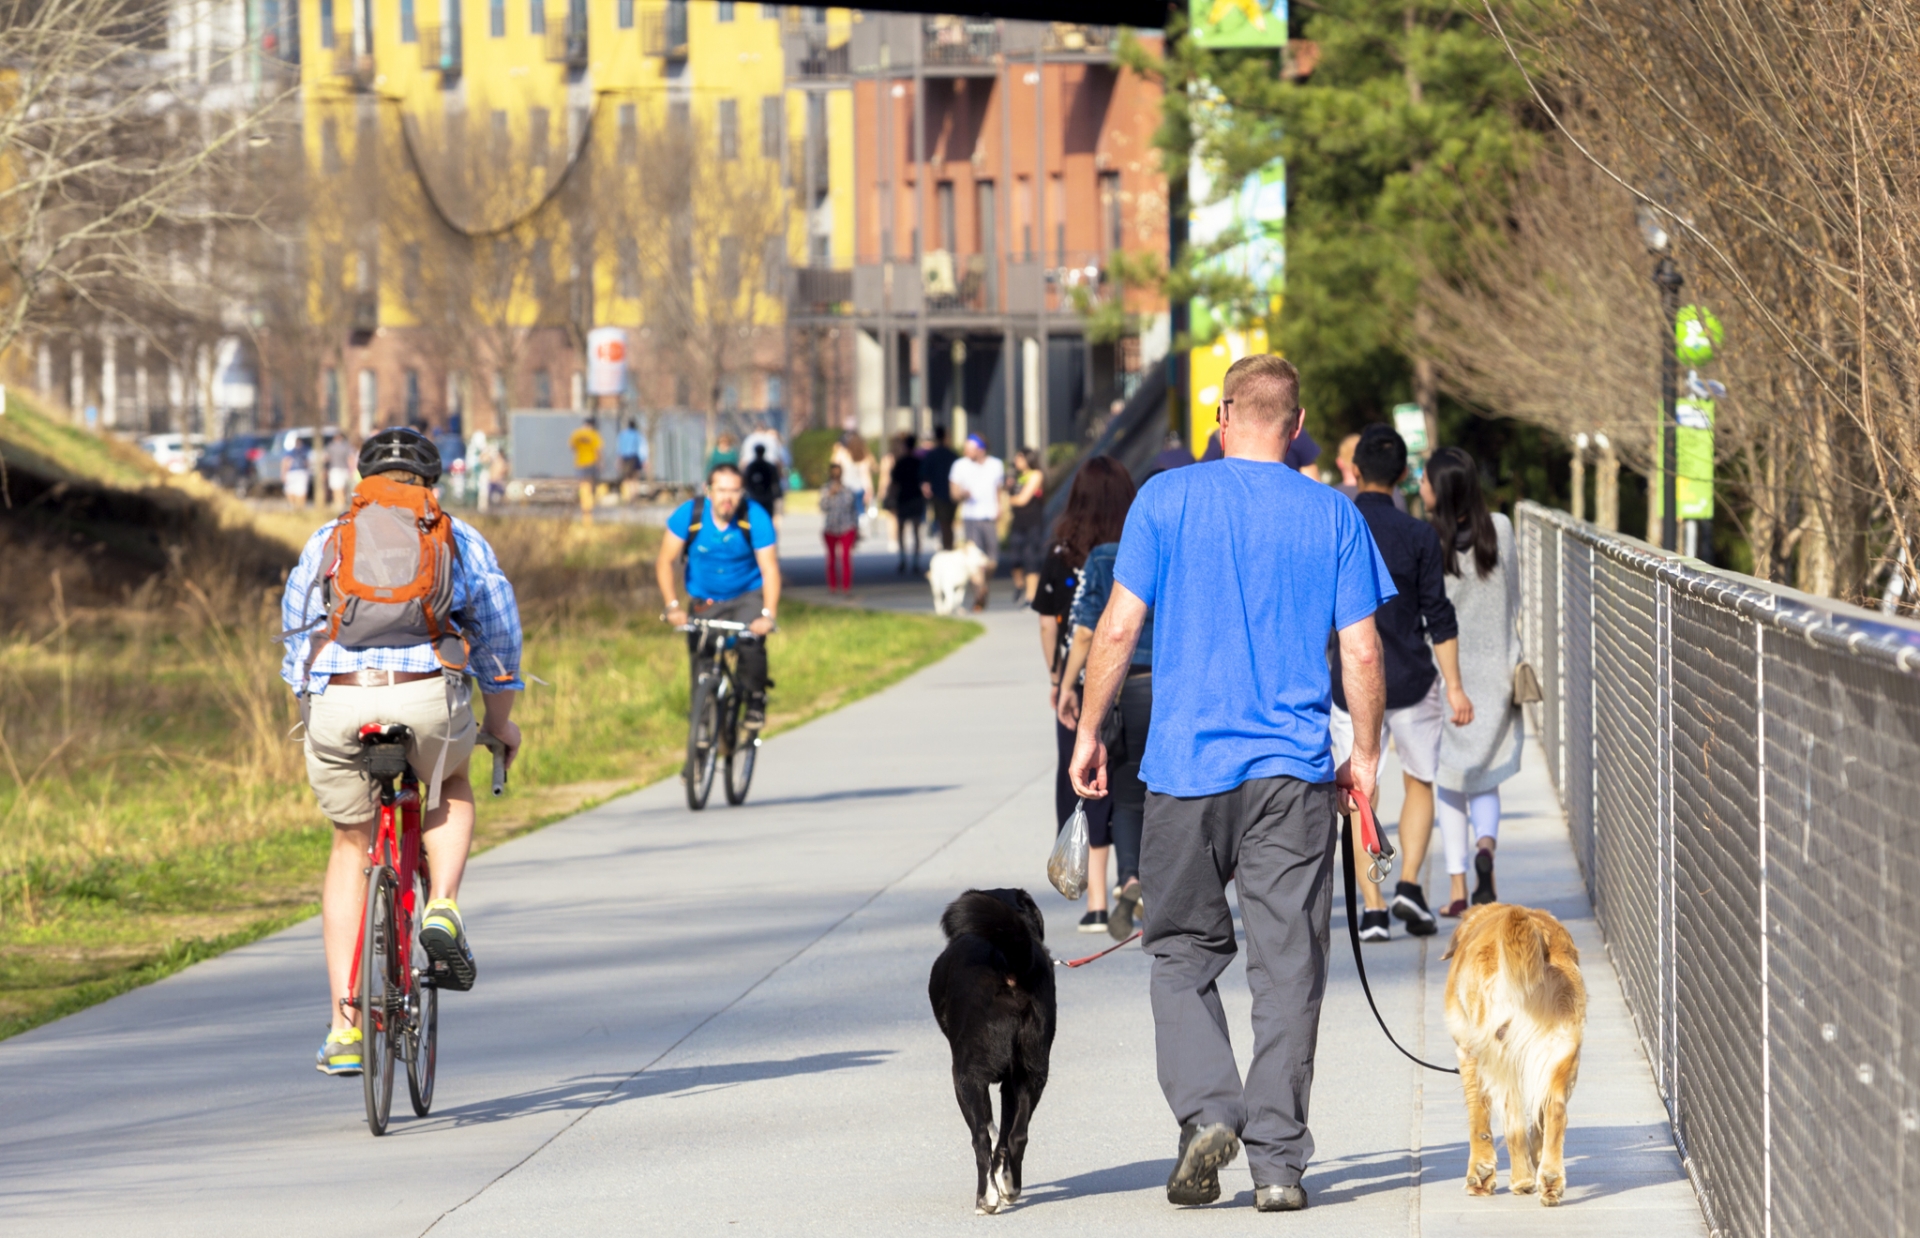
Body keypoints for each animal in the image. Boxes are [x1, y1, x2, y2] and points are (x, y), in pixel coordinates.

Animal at [925, 882, 1059, 1213]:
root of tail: (1008, 965)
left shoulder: (975, 1079)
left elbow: (987, 1128)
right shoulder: (1012, 1083)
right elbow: (1006, 1134)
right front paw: (1004, 1178)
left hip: (965, 1077)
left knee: (980, 1139)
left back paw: (985, 1198)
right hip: (1032, 1073)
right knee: (1018, 1136)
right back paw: (1010, 1186)